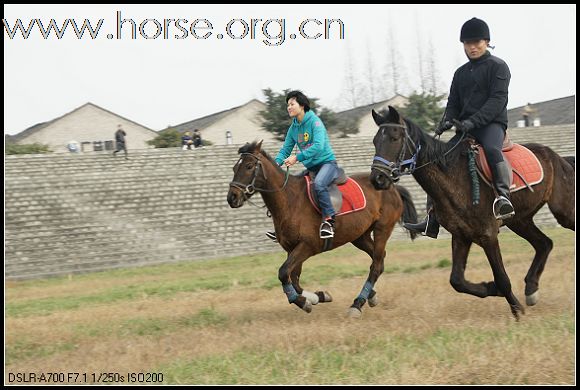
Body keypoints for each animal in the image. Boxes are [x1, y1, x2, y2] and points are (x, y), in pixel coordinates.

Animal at [227, 140, 416, 316]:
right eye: (234, 168)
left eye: (249, 166)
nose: (232, 197)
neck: (290, 201)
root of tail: (392, 187)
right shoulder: (291, 248)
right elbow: (293, 279)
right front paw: (319, 296)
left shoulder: (307, 246)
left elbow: (283, 273)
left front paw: (303, 302)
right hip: (359, 236)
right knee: (379, 260)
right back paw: (371, 296)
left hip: (382, 229)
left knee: (376, 265)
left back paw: (357, 304)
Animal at [370, 106, 572, 320]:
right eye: (375, 141)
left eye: (394, 138)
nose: (377, 179)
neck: (455, 177)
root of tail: (557, 157)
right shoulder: (461, 236)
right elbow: (457, 281)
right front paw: (491, 288)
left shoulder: (488, 235)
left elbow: (502, 279)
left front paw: (517, 311)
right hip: (519, 221)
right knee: (544, 244)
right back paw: (531, 289)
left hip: (563, 212)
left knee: (547, 240)